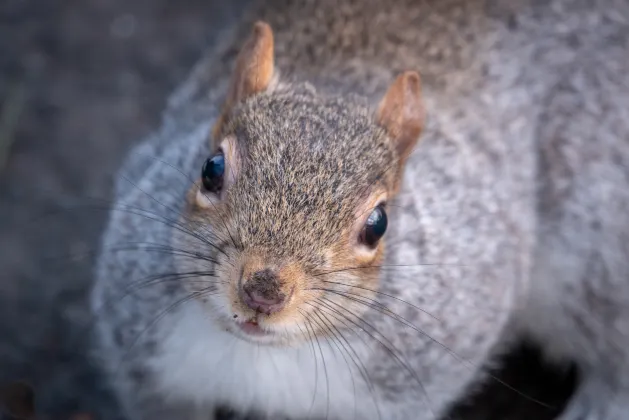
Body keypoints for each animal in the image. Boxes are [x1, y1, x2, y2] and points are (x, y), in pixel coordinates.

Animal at [91, 0, 628, 420]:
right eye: (211, 169)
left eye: (378, 223)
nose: (263, 292)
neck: (264, 357)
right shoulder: (147, 361)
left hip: (596, 243)